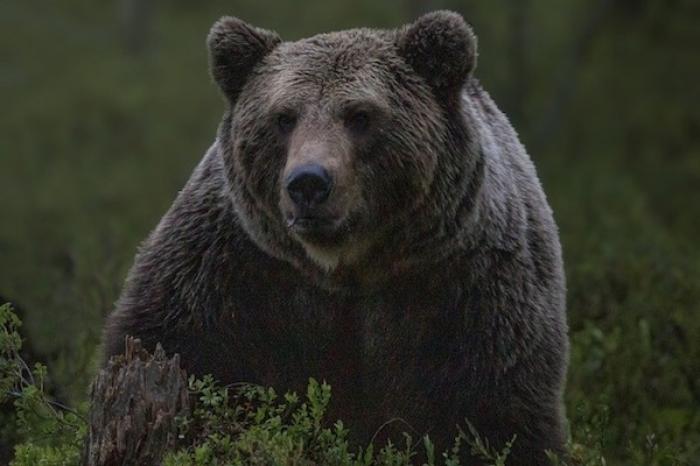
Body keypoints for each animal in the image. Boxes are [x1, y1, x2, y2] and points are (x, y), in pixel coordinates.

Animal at [104, 10, 568, 462]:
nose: (308, 183)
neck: (346, 266)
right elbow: (179, 347)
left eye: (360, 116)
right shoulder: (230, 270)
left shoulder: (469, 288)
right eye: (284, 117)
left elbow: (495, 412)